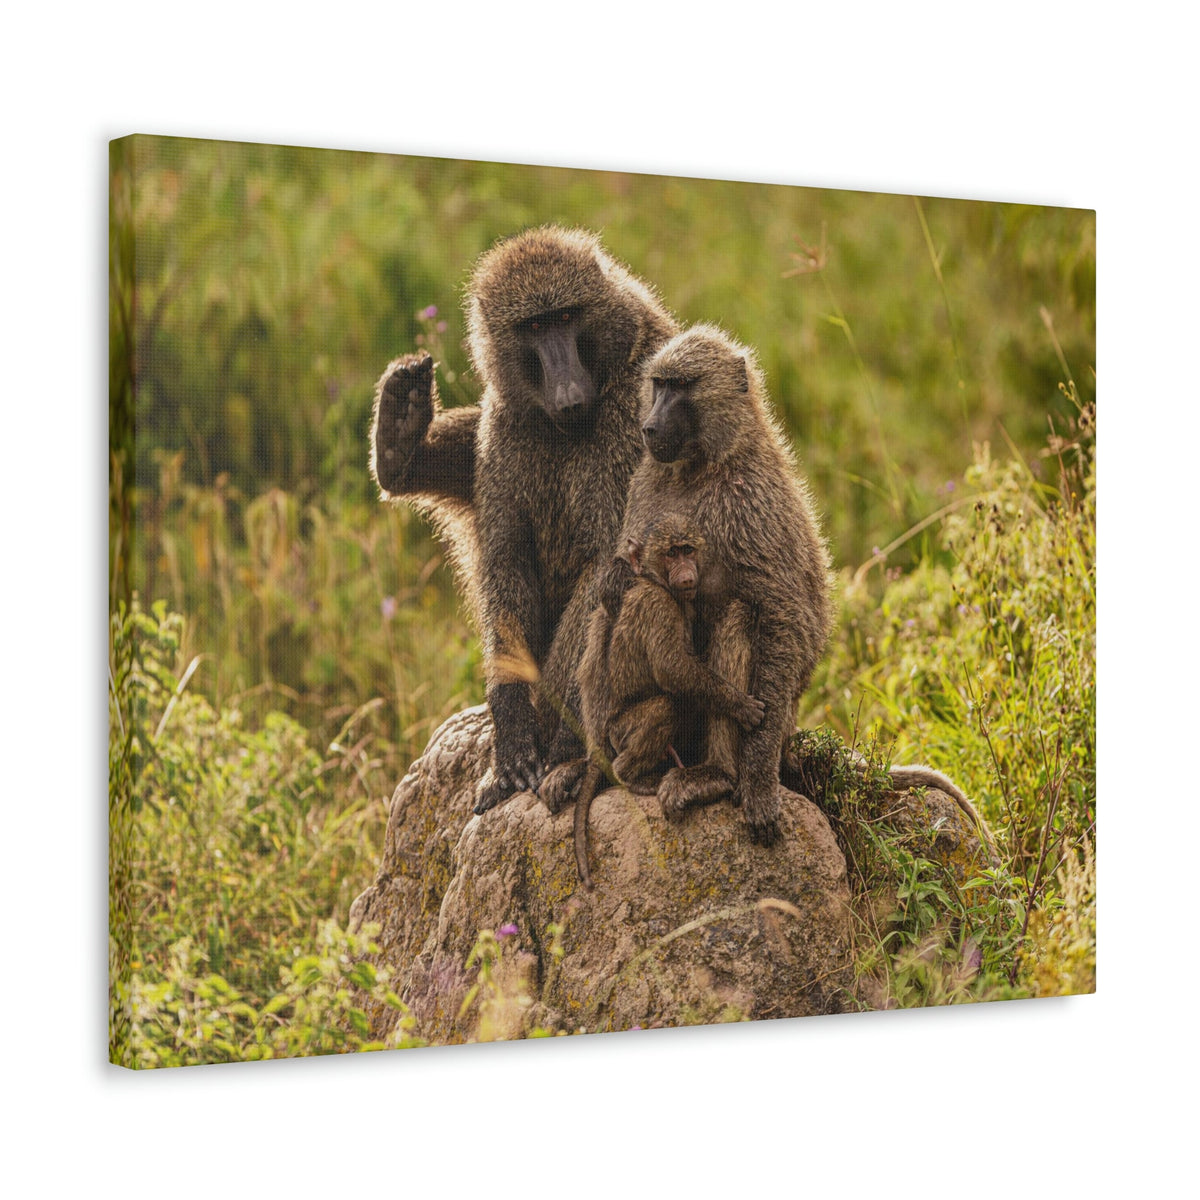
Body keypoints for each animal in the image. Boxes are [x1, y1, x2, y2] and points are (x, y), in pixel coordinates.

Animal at [369, 227, 678, 815]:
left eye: (567, 316)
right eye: (534, 327)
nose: (569, 392)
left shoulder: (636, 419)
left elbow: (610, 568)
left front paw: (556, 747)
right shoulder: (509, 423)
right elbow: (506, 556)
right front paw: (512, 735)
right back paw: (400, 445)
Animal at [567, 516, 766, 889]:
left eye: (687, 550)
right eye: (671, 553)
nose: (686, 571)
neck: (655, 581)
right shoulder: (657, 604)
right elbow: (672, 668)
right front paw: (738, 704)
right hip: (620, 732)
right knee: (665, 707)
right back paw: (628, 776)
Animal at [617, 324, 834, 847]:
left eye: (682, 387)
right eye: (658, 384)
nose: (649, 428)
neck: (702, 467)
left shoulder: (751, 500)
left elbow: (784, 614)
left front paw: (756, 785)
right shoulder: (645, 484)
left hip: (780, 718)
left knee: (740, 613)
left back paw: (718, 774)